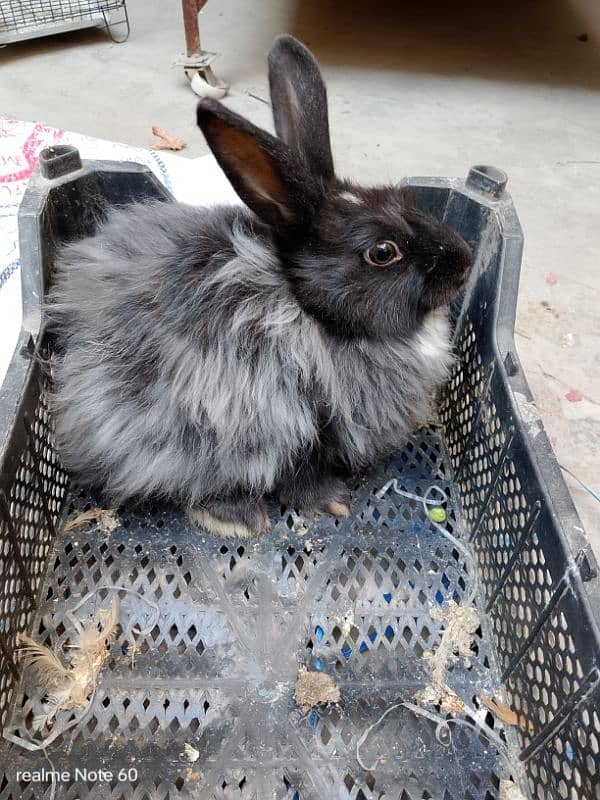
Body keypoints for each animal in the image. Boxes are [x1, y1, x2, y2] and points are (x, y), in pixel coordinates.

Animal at [47, 36, 472, 536]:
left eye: (405, 199)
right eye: (383, 252)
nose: (465, 262)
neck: (309, 310)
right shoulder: (292, 420)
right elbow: (300, 469)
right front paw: (333, 502)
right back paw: (240, 518)